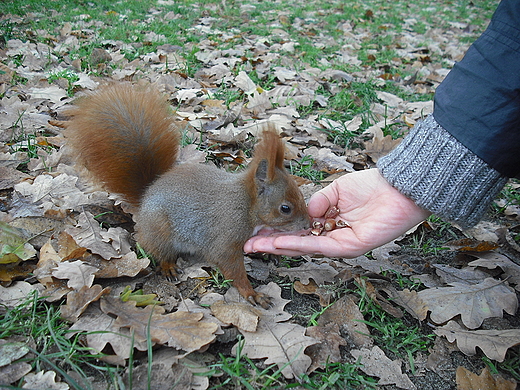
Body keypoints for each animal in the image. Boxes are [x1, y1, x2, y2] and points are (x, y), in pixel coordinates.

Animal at [64, 84, 308, 308]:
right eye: (285, 208)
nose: (308, 225)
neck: (245, 204)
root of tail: (145, 197)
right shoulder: (225, 237)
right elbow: (231, 267)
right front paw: (252, 293)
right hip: (160, 229)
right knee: (159, 251)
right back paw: (168, 266)